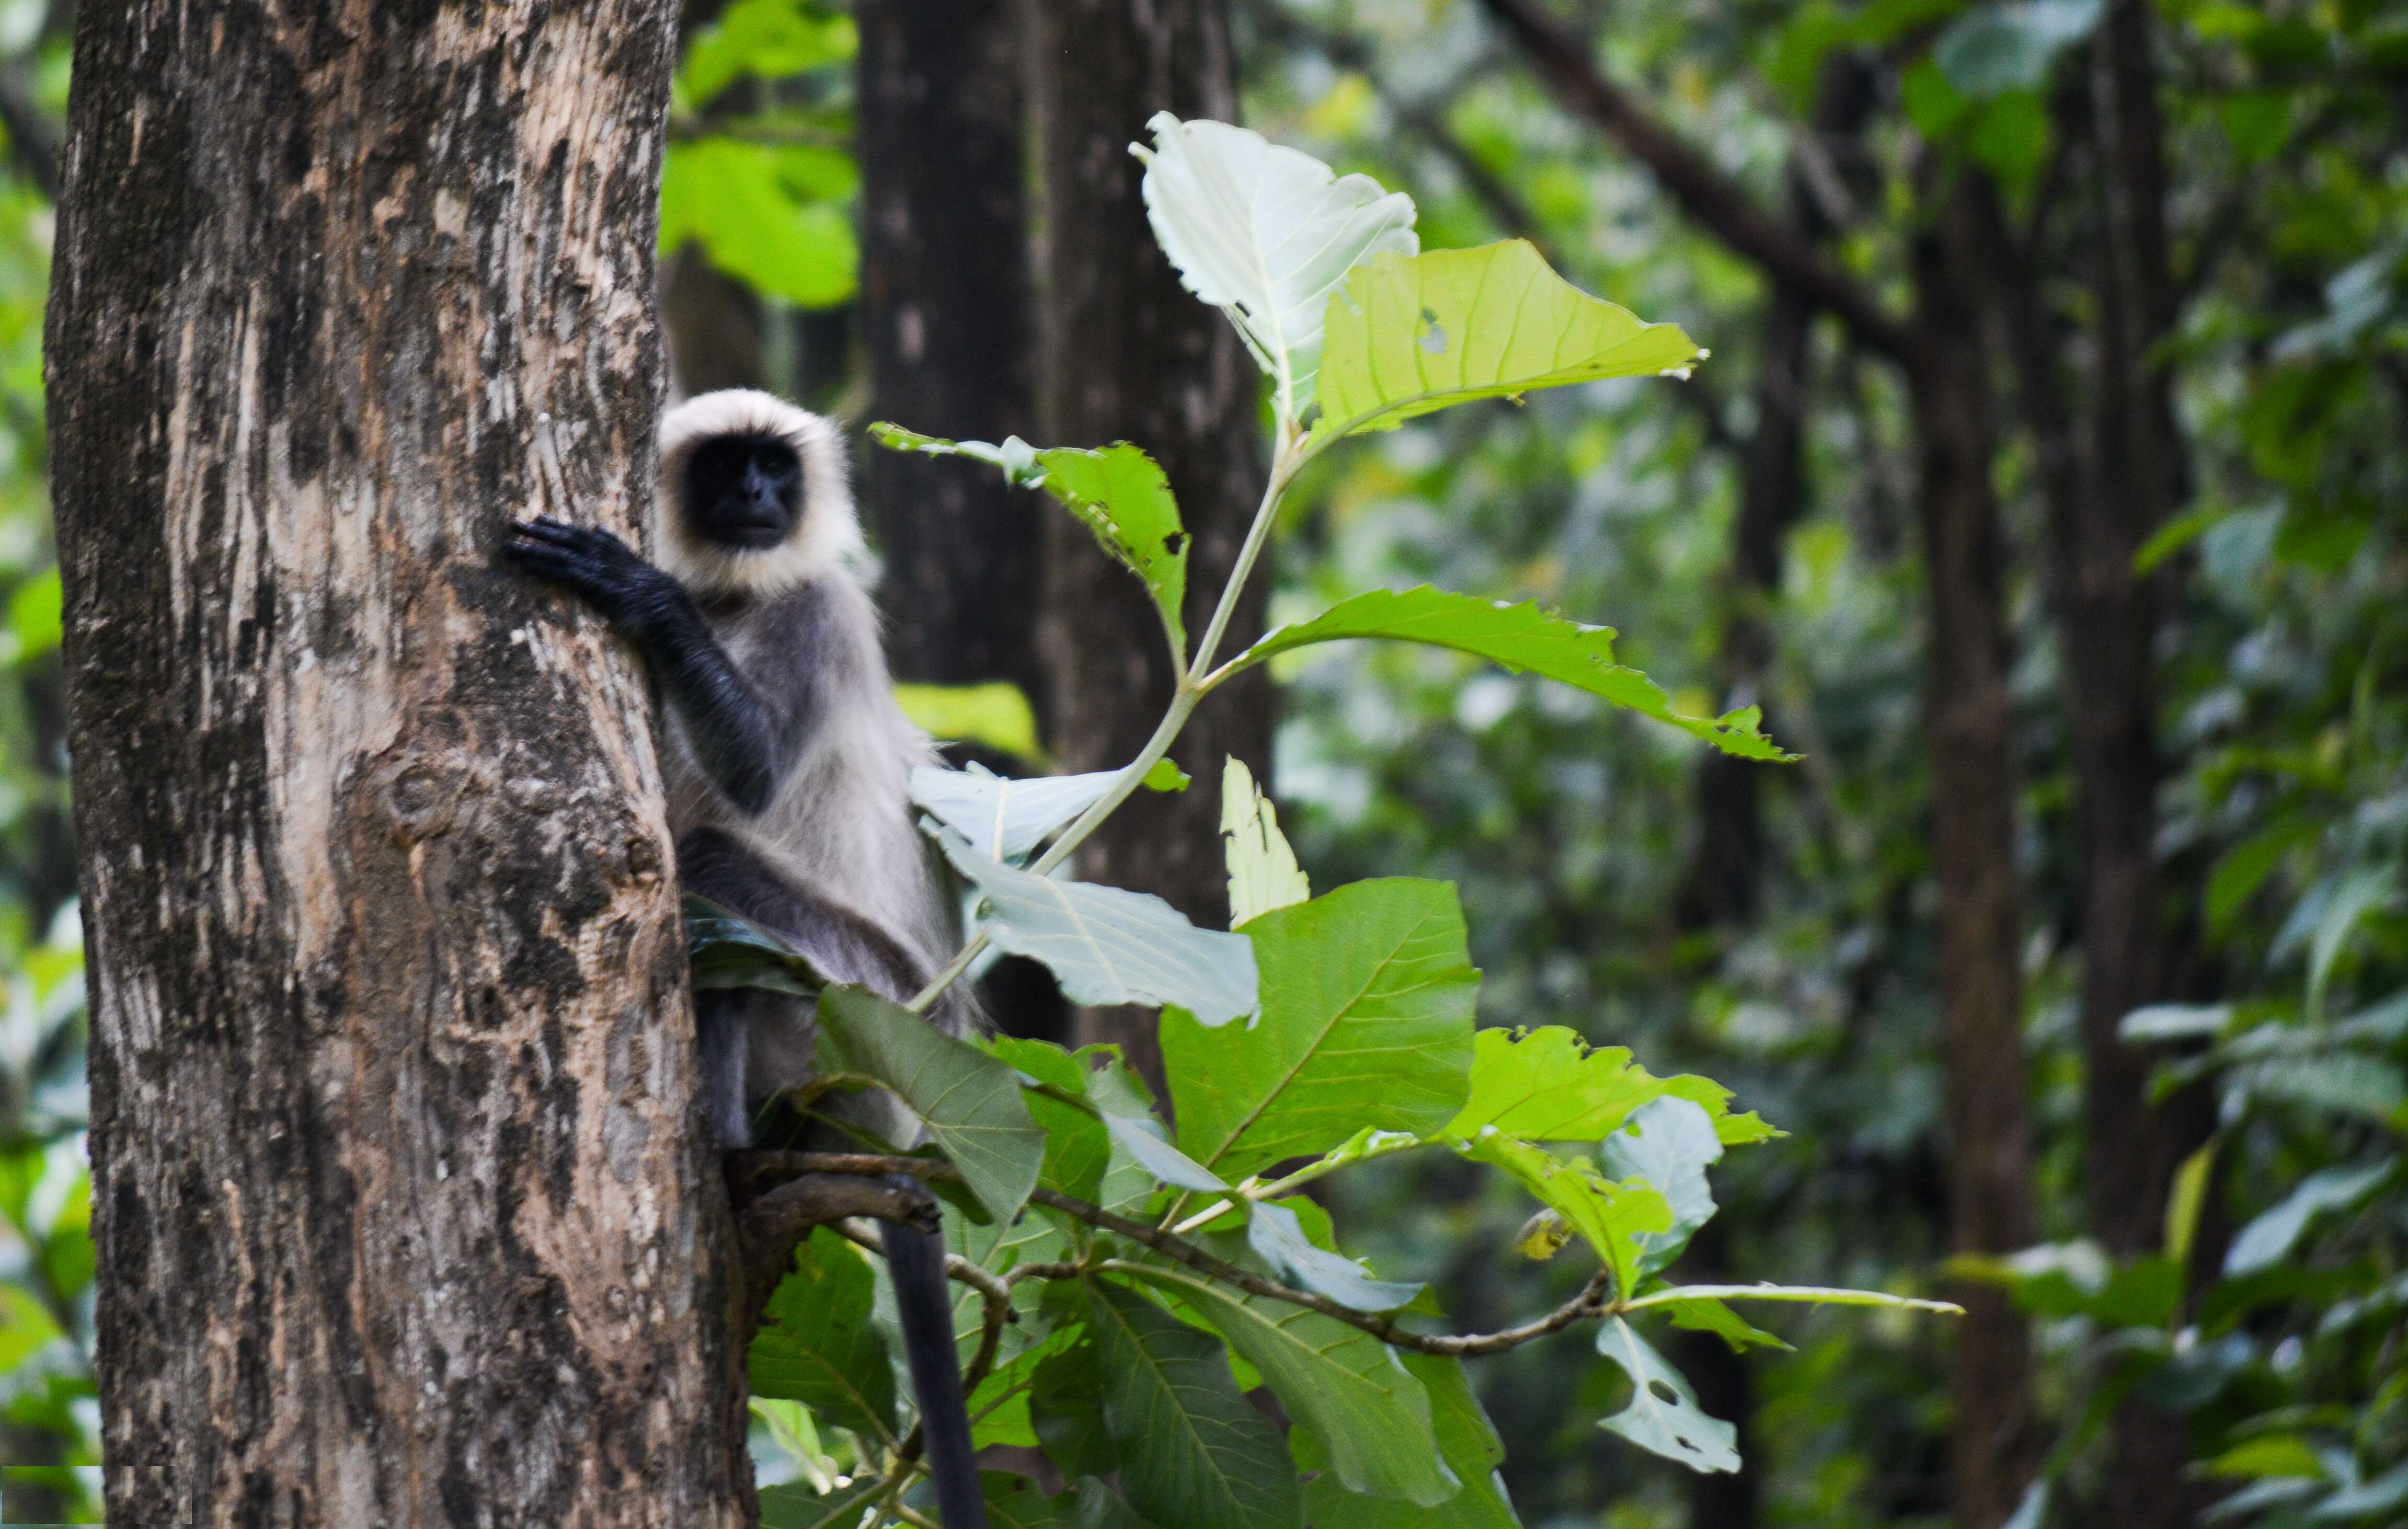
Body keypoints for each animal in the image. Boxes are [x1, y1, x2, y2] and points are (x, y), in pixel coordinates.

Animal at [503, 385, 992, 1529]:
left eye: (776, 467)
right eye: (729, 468)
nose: (760, 498)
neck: (736, 598)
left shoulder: (816, 611)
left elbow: (758, 777)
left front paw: (647, 601)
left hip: (865, 999)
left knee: (718, 869)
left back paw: (727, 1154)